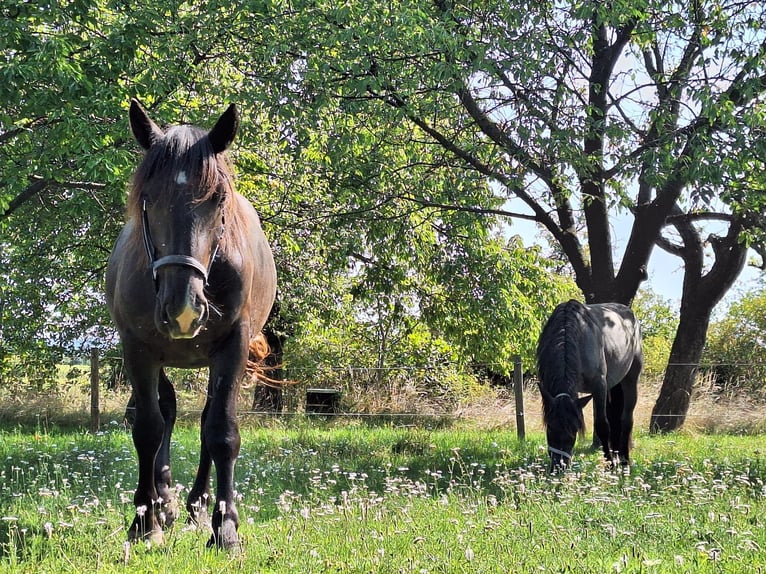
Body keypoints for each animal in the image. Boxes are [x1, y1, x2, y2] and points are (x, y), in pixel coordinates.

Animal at [106, 99, 277, 550]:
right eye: (148, 198)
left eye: (218, 199)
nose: (184, 309)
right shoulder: (138, 348)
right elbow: (148, 427)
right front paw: (145, 521)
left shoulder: (233, 347)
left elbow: (221, 431)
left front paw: (226, 527)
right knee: (165, 411)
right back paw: (163, 501)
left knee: (204, 421)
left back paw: (197, 506)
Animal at [536, 300, 642, 472]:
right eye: (550, 427)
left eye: (574, 429)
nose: (559, 466)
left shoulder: (599, 386)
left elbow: (602, 425)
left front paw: (610, 464)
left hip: (631, 380)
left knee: (626, 419)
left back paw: (625, 461)